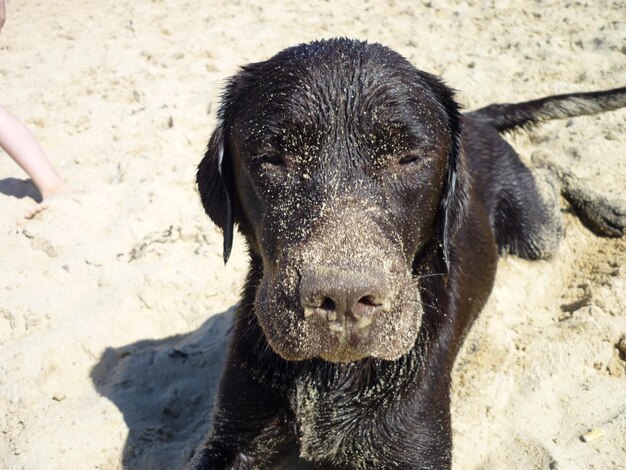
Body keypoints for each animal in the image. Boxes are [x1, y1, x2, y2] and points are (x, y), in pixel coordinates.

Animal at [189, 38, 624, 468]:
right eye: (273, 159)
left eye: (409, 158)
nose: (343, 299)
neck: (328, 377)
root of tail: (477, 120)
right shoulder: (234, 434)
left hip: (535, 233)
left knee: (547, 169)